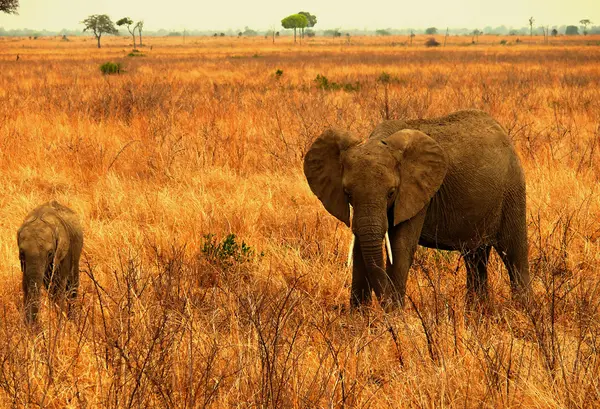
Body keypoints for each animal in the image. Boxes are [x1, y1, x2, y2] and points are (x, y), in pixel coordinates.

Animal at [304, 110, 528, 308]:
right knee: (475, 258)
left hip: (512, 191)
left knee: (514, 254)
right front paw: (360, 320)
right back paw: (477, 313)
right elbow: (360, 250)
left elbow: (401, 247)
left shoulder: (417, 192)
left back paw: (524, 311)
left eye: (391, 192)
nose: (384, 305)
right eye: (347, 193)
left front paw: (394, 318)